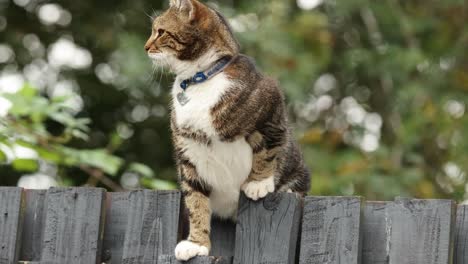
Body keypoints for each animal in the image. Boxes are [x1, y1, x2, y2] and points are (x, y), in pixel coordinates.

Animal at [144, 0, 308, 260]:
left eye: (160, 31)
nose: (146, 47)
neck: (201, 79)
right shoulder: (187, 153)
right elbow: (196, 201)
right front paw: (197, 243)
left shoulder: (272, 106)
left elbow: (269, 148)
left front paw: (258, 183)